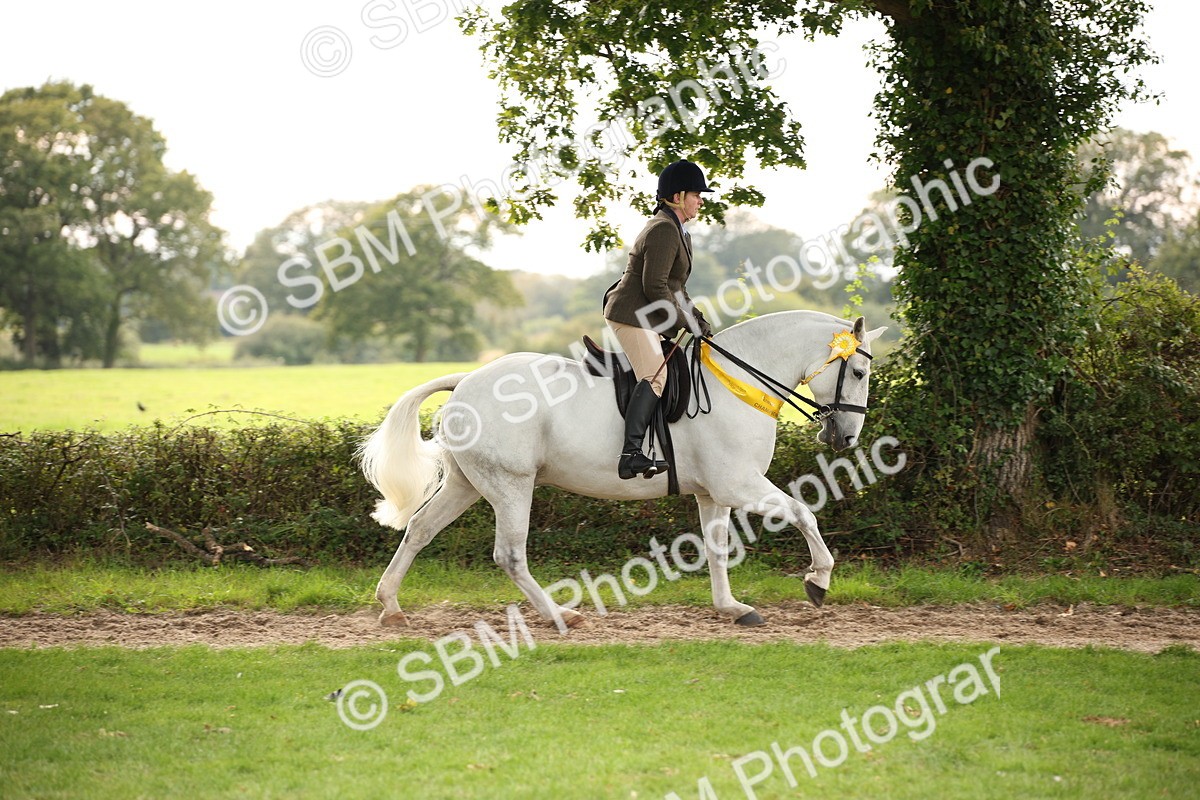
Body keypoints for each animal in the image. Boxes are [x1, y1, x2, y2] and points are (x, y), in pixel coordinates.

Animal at [359, 310, 886, 630]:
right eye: (860, 373)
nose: (846, 439)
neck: (738, 380)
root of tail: (466, 380)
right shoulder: (739, 485)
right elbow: (804, 514)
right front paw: (818, 582)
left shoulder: (713, 493)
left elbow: (717, 549)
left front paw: (731, 607)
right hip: (511, 485)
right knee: (508, 555)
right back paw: (559, 615)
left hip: (466, 483)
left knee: (420, 529)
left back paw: (391, 606)